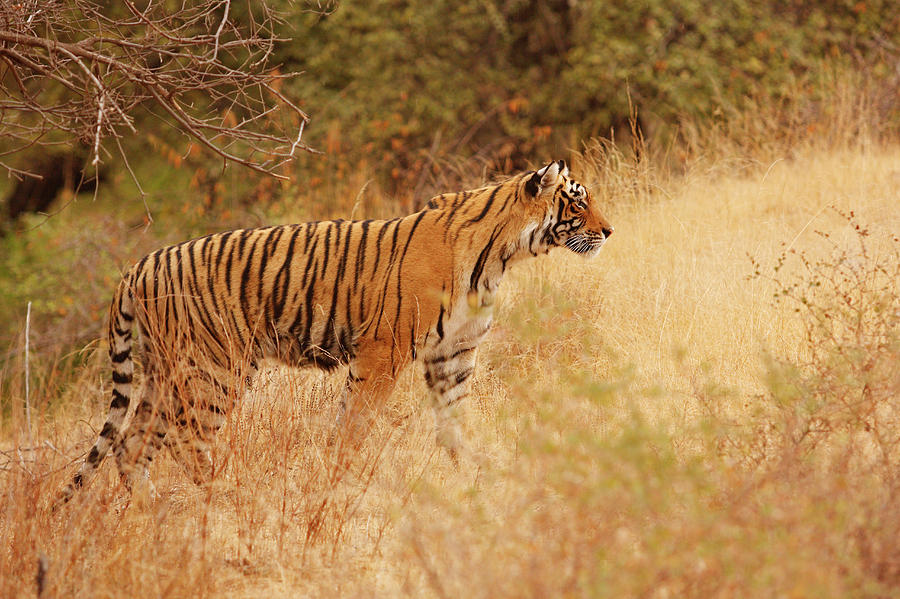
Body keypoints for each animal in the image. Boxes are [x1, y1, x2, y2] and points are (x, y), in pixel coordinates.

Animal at [56, 157, 612, 504]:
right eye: (578, 203)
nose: (609, 231)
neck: (501, 257)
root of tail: (136, 267)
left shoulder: (453, 355)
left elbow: (454, 424)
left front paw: (471, 474)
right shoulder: (384, 353)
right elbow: (353, 426)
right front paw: (338, 481)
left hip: (165, 375)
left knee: (131, 445)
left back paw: (158, 509)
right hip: (215, 369)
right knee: (185, 441)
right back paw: (229, 494)